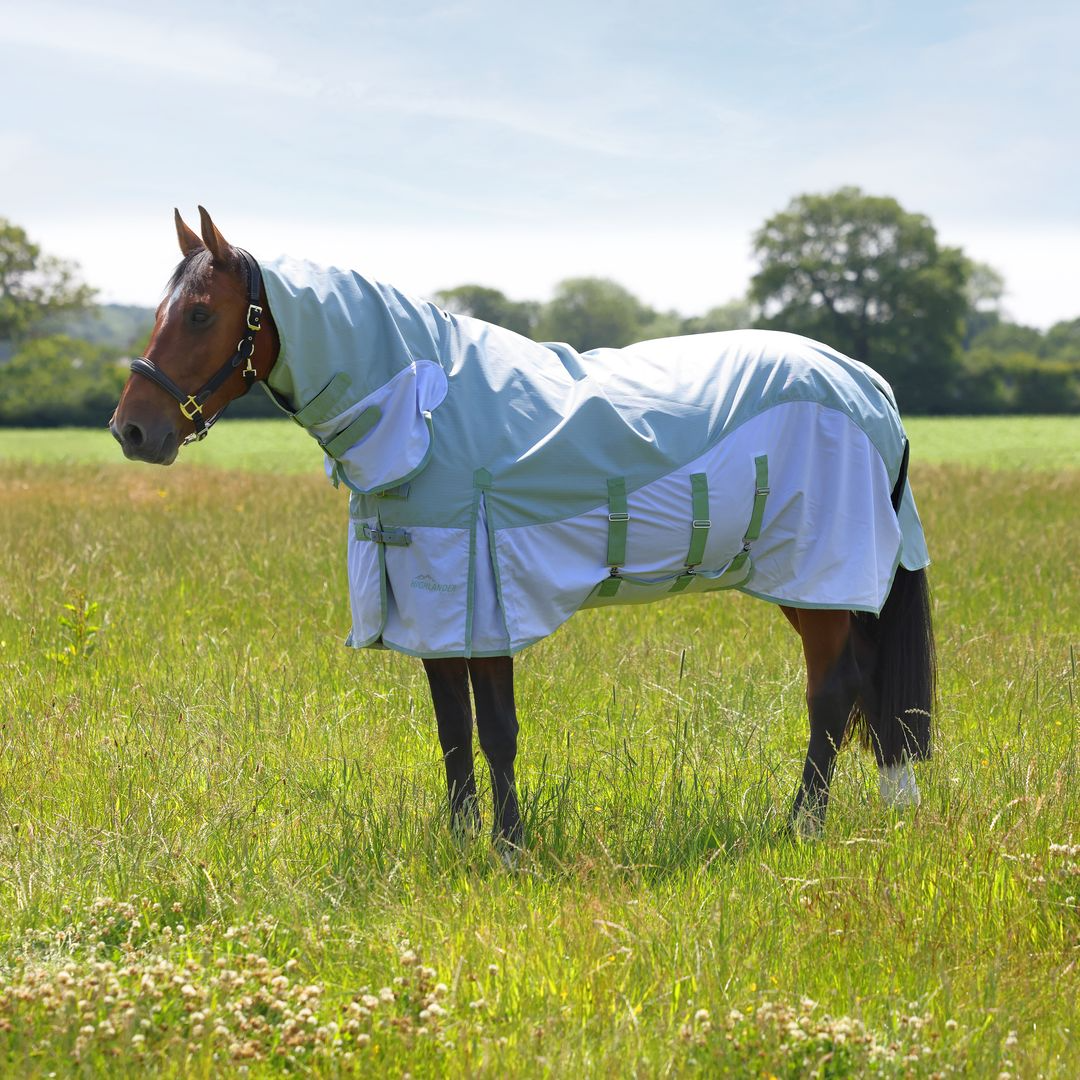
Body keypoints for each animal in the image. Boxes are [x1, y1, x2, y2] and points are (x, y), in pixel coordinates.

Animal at [110, 207, 935, 847]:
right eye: (159, 313)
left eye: (201, 313)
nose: (132, 431)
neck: (428, 409)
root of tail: (869, 385)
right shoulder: (429, 606)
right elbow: (452, 730)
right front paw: (460, 841)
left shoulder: (487, 596)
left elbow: (497, 731)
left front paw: (509, 848)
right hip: (816, 589)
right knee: (856, 691)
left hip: (820, 576)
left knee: (830, 696)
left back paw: (800, 826)